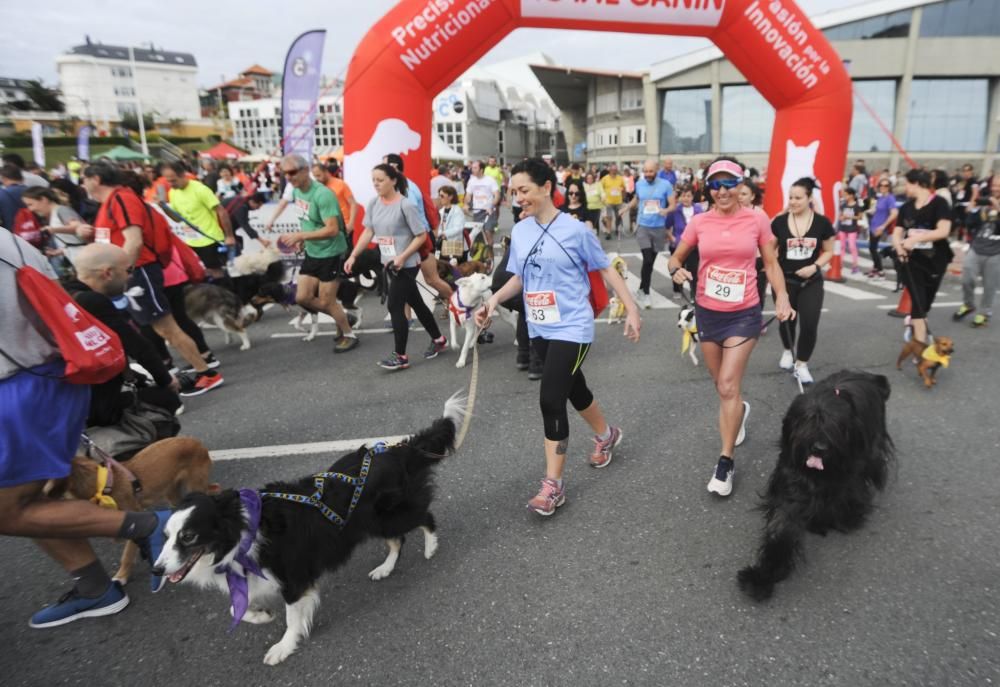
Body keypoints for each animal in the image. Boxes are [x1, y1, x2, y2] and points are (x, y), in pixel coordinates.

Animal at [48, 438, 217, 588]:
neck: (105, 487)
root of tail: (196, 442)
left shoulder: (134, 515)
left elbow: (127, 555)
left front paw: (121, 576)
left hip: (194, 485)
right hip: (171, 492)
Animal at [154, 398, 466, 668]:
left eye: (188, 536)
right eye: (166, 535)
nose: (156, 570)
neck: (242, 532)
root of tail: (400, 450)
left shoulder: (294, 577)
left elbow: (292, 618)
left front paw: (283, 647)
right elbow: (236, 608)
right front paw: (262, 616)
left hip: (388, 516)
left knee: (423, 518)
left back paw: (430, 547)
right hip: (370, 521)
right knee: (398, 540)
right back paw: (385, 569)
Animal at [740, 370, 896, 600]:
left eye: (835, 424)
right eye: (808, 420)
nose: (820, 447)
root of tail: (868, 376)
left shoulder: (848, 476)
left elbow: (840, 498)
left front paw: (833, 520)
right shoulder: (791, 483)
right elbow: (782, 527)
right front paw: (763, 575)